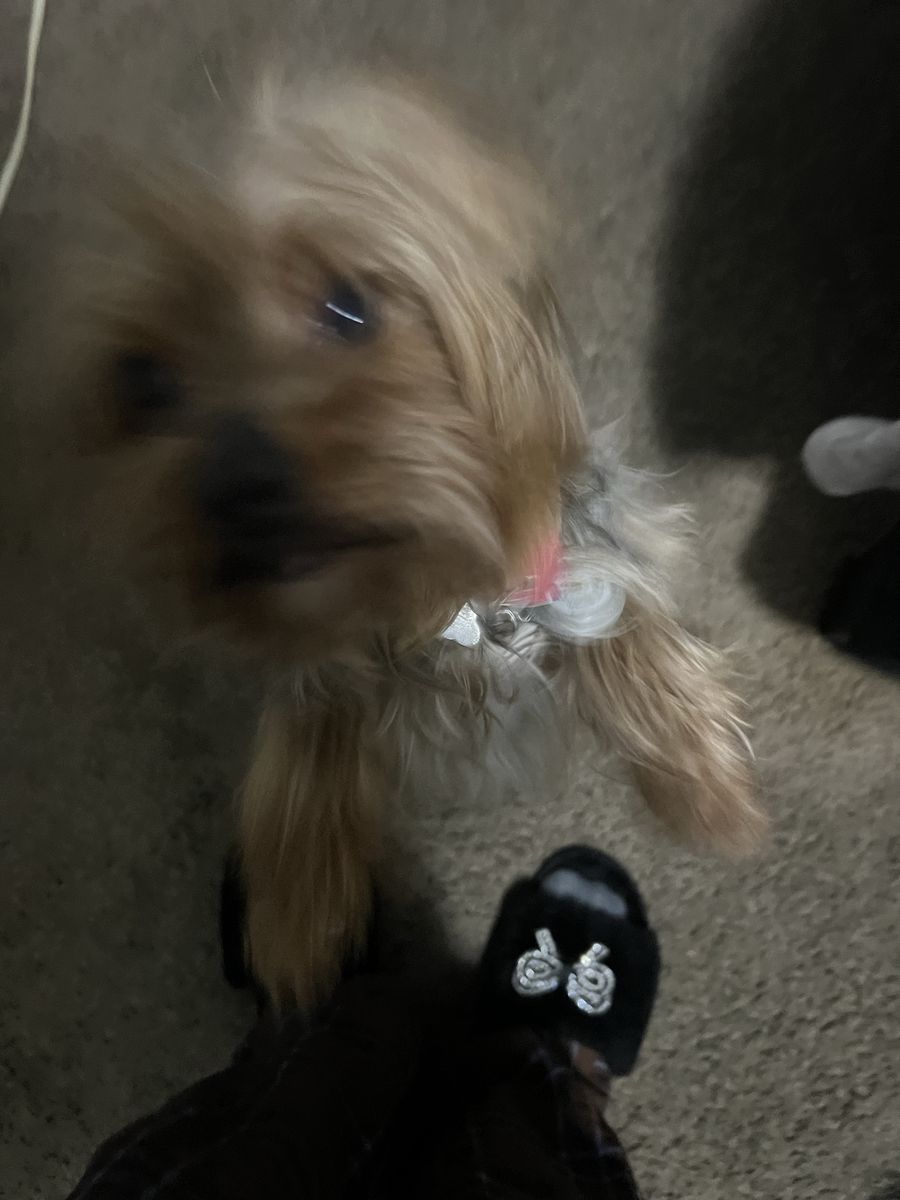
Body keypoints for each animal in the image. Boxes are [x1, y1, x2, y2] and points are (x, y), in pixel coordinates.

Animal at [76, 73, 764, 1012]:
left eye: (348, 308)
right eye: (146, 381)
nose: (239, 485)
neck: (430, 592)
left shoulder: (578, 537)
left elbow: (623, 613)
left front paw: (705, 787)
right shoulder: (320, 640)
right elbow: (309, 728)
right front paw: (294, 913)